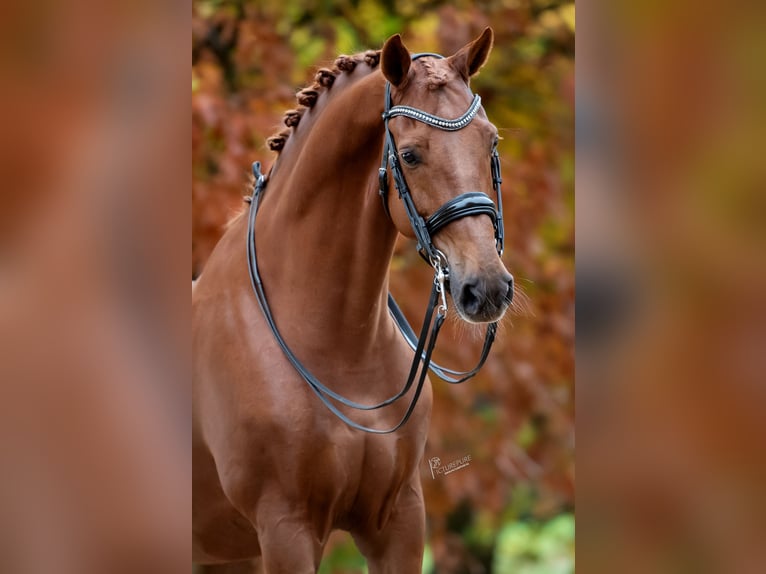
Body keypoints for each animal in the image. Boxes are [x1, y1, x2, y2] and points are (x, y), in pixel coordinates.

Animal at [192, 28, 513, 573]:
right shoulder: (286, 529)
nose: (487, 288)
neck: (339, 352)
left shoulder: (399, 520)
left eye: (490, 141)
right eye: (411, 155)